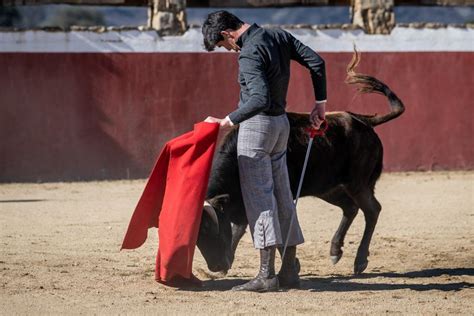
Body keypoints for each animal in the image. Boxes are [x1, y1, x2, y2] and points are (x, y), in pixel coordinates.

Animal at [195, 51, 404, 274]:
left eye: (209, 228)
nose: (216, 266)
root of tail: (363, 121)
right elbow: (242, 227)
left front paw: (291, 265)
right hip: (327, 187)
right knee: (350, 208)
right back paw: (335, 251)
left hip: (358, 183)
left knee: (372, 210)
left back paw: (360, 260)